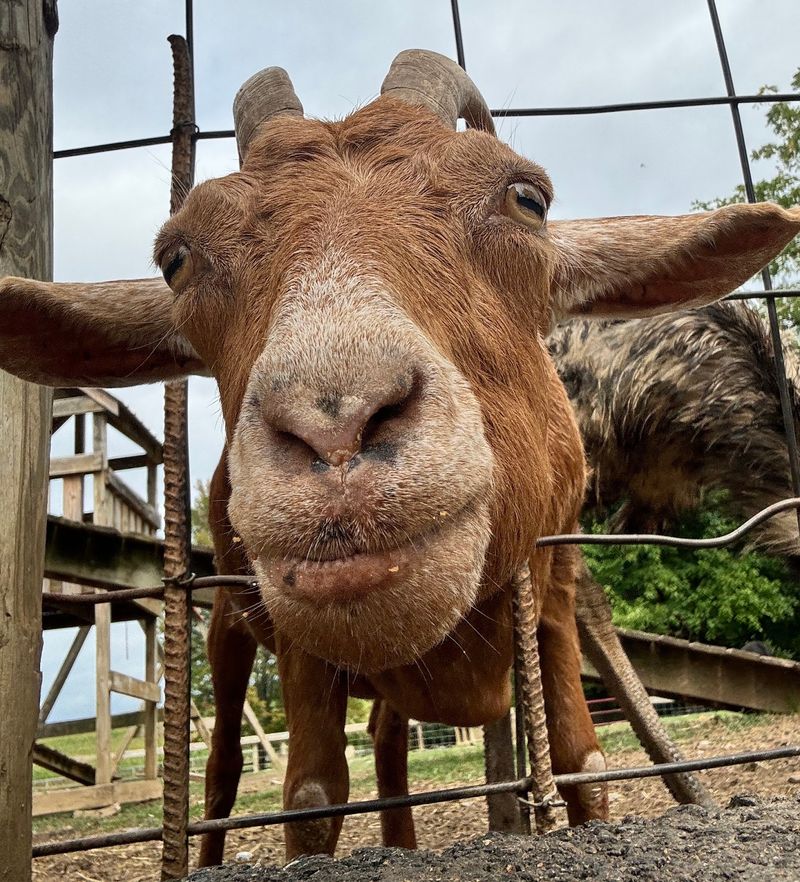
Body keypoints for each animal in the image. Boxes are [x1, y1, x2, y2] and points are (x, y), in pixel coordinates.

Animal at [2, 51, 798, 865]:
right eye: (176, 259)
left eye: (527, 199)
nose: (336, 428)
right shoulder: (295, 633)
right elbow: (310, 799)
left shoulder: (556, 587)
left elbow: (584, 763)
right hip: (225, 614)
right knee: (222, 761)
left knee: (387, 739)